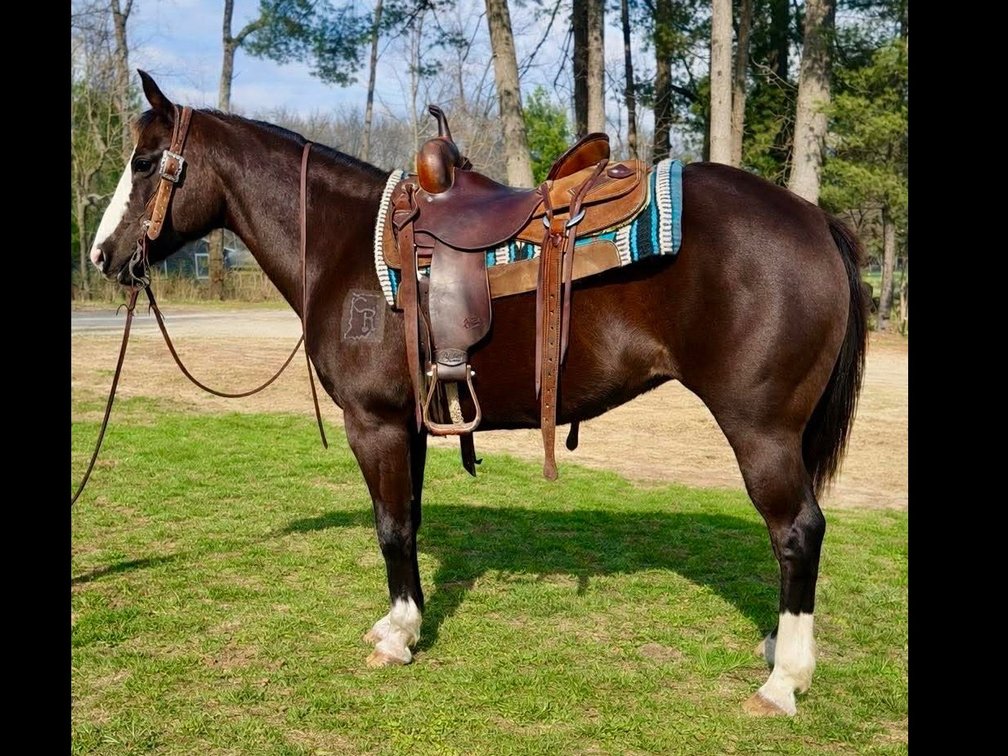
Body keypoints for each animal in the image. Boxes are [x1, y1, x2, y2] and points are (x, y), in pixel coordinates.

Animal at [87, 70, 867, 717]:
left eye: (144, 163)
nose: (100, 255)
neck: (344, 246)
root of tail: (814, 218)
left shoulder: (373, 423)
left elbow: (390, 526)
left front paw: (398, 637)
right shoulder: (408, 423)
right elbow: (408, 520)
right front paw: (404, 619)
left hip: (761, 430)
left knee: (797, 532)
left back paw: (783, 680)